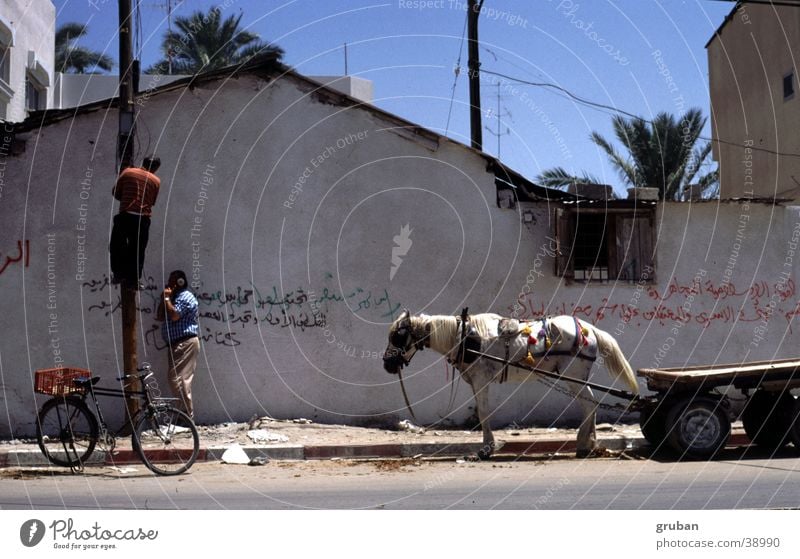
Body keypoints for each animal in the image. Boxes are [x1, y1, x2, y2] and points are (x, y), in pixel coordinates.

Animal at [384, 310, 640, 460]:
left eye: (398, 336)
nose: (387, 364)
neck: (466, 337)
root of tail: (589, 328)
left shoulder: (481, 380)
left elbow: (484, 414)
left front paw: (485, 450)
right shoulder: (476, 382)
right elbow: (482, 412)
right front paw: (487, 447)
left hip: (573, 375)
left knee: (589, 405)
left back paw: (583, 443)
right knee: (590, 404)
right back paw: (588, 444)